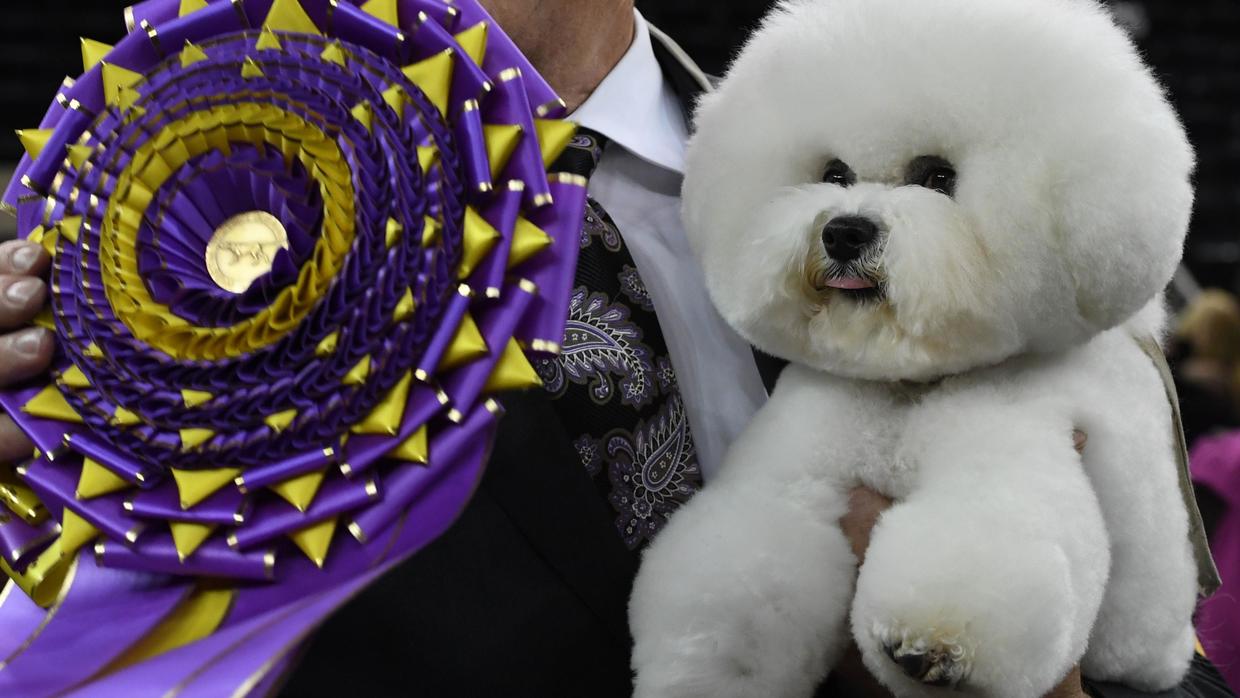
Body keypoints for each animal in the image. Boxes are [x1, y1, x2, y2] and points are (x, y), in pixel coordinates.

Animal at [629, 0, 1210, 694]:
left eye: (938, 177)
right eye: (834, 173)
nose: (843, 231)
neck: (909, 389)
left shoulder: (1012, 447)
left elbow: (989, 532)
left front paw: (931, 644)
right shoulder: (796, 466)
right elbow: (746, 567)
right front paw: (709, 662)